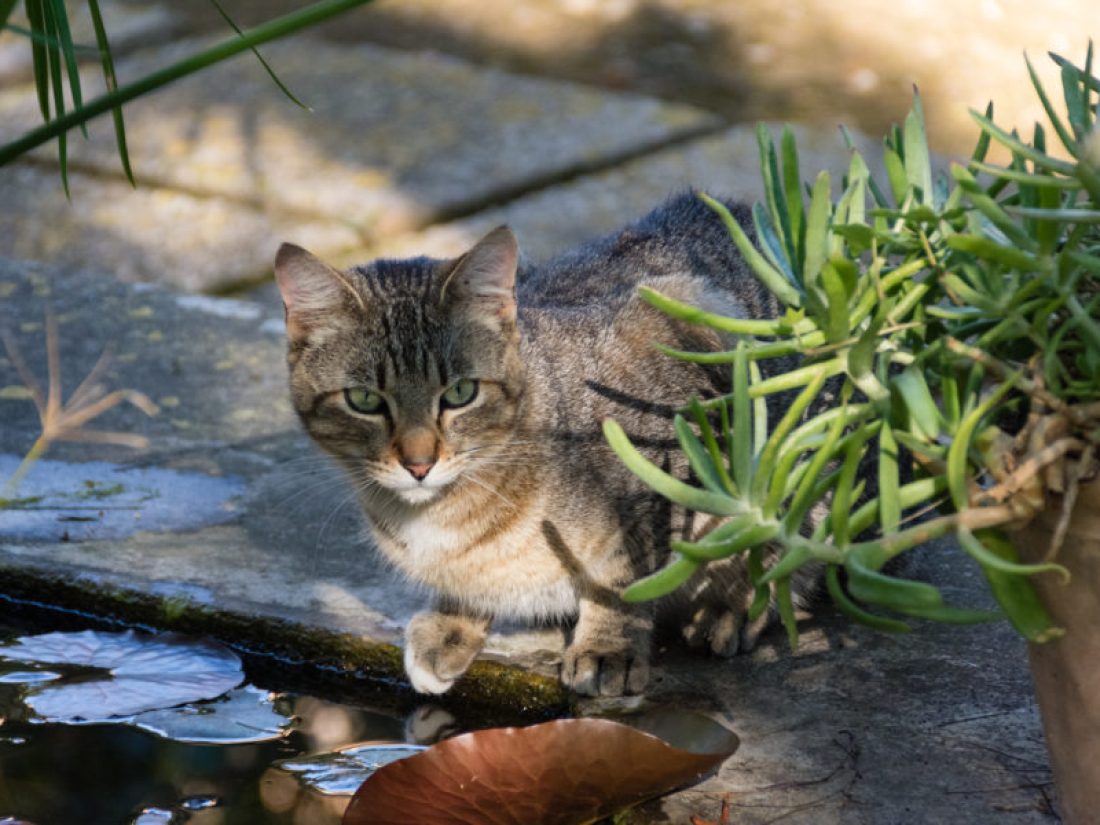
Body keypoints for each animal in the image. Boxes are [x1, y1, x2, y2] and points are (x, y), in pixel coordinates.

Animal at [273, 193, 800, 699]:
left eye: (460, 392)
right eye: (364, 400)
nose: (418, 464)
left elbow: (622, 577)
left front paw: (608, 646)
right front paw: (452, 624)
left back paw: (730, 607)